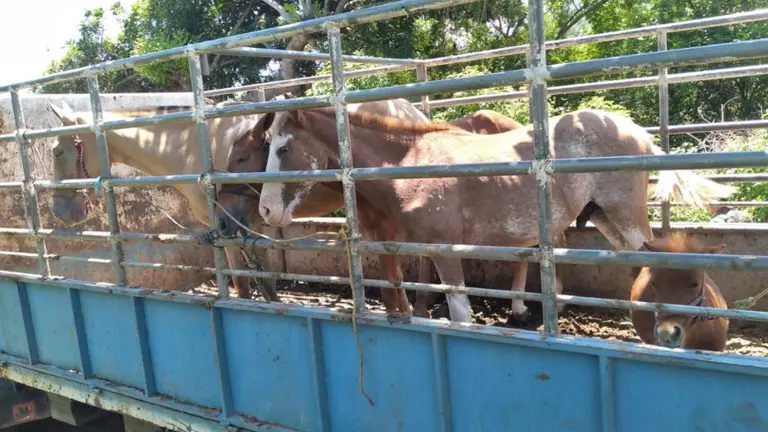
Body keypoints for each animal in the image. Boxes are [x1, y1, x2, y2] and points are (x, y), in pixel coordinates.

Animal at [252, 108, 734, 323]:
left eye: (285, 148)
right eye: (266, 146)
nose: (266, 209)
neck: (411, 163)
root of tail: (636, 132)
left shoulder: (447, 250)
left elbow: (460, 313)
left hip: (625, 214)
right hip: (604, 217)